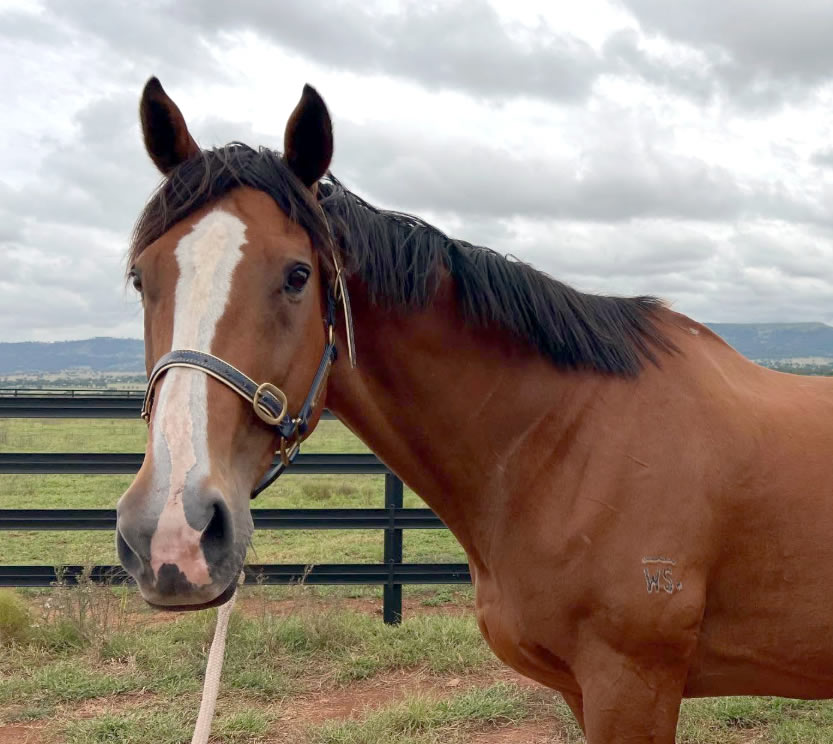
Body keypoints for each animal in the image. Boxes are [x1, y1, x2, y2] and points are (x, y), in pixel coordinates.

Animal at [116, 77, 833, 743]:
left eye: (297, 275)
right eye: (141, 278)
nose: (172, 534)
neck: (567, 443)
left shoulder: (633, 686)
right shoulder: (584, 691)